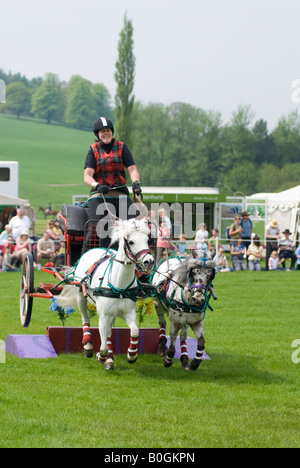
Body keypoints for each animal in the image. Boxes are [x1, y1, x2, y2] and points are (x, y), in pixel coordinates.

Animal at [55, 218, 155, 370]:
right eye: (131, 242)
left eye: (147, 240)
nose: (149, 261)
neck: (119, 287)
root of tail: (95, 248)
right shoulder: (103, 315)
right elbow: (102, 347)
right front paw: (101, 356)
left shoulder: (128, 313)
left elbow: (135, 331)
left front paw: (131, 354)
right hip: (81, 296)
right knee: (85, 319)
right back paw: (89, 345)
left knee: (108, 333)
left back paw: (110, 358)